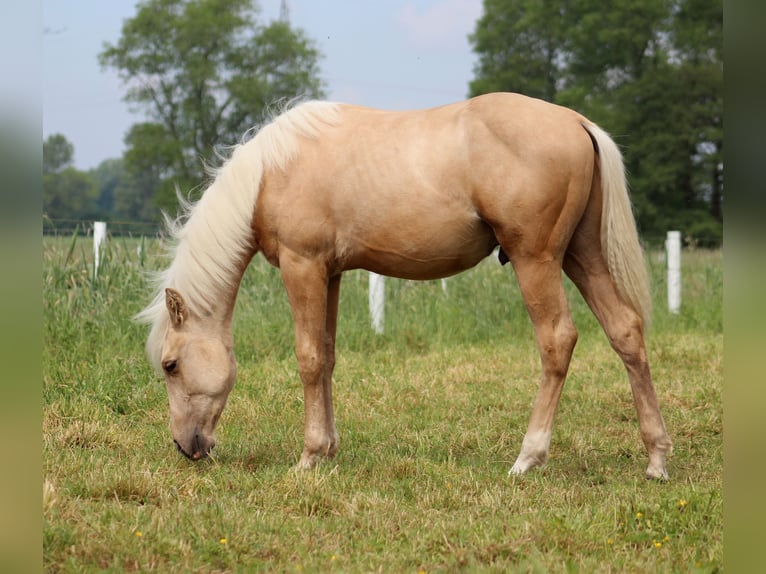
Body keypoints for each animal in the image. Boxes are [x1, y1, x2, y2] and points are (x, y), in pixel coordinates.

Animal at [136, 93, 672, 482]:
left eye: (171, 365)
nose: (186, 447)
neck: (272, 172)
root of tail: (577, 122)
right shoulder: (330, 273)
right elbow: (327, 356)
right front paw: (329, 449)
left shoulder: (301, 266)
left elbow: (308, 358)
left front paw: (308, 457)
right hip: (583, 255)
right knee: (625, 331)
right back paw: (656, 460)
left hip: (536, 261)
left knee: (557, 340)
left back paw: (528, 458)